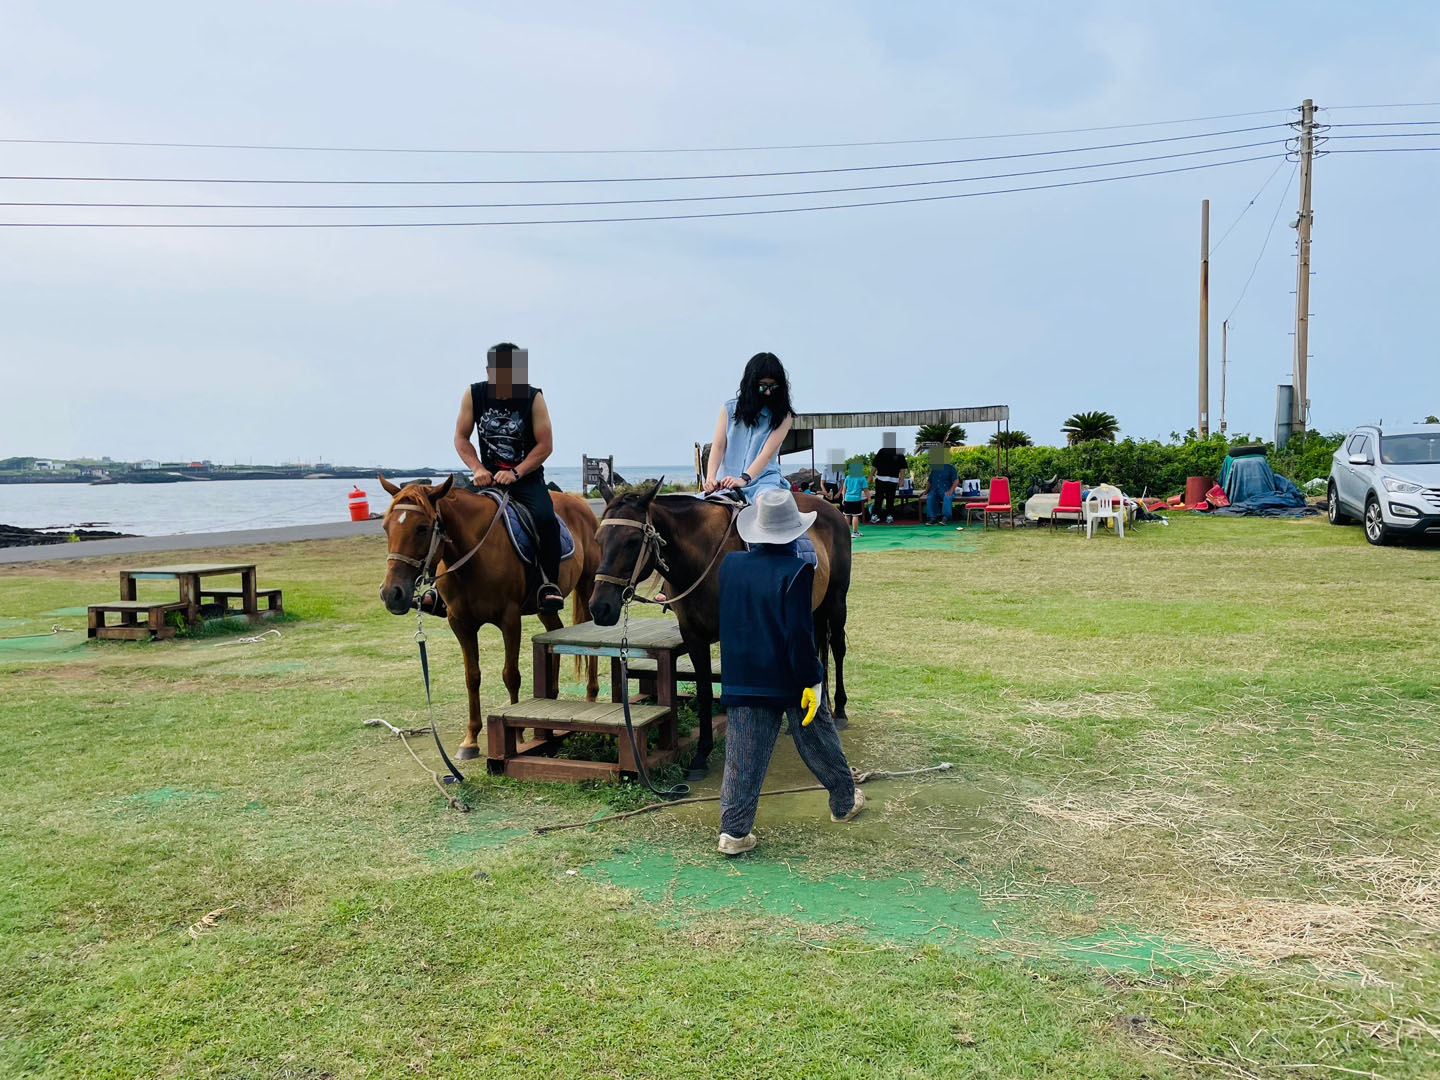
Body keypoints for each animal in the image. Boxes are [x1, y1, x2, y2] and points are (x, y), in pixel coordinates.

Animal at [374, 472, 599, 760]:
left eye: (422, 528)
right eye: (386, 527)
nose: (391, 593)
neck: (473, 557)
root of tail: (579, 501)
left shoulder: (510, 620)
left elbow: (510, 675)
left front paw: (517, 734)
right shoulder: (460, 624)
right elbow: (472, 677)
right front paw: (470, 739)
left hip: (588, 585)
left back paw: (591, 697)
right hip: (545, 609)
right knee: (554, 635)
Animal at [587, 486, 846, 783]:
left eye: (631, 541)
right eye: (598, 539)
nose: (599, 607)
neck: (703, 561)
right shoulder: (693, 636)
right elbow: (704, 690)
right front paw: (701, 755)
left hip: (836, 602)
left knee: (837, 649)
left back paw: (840, 710)